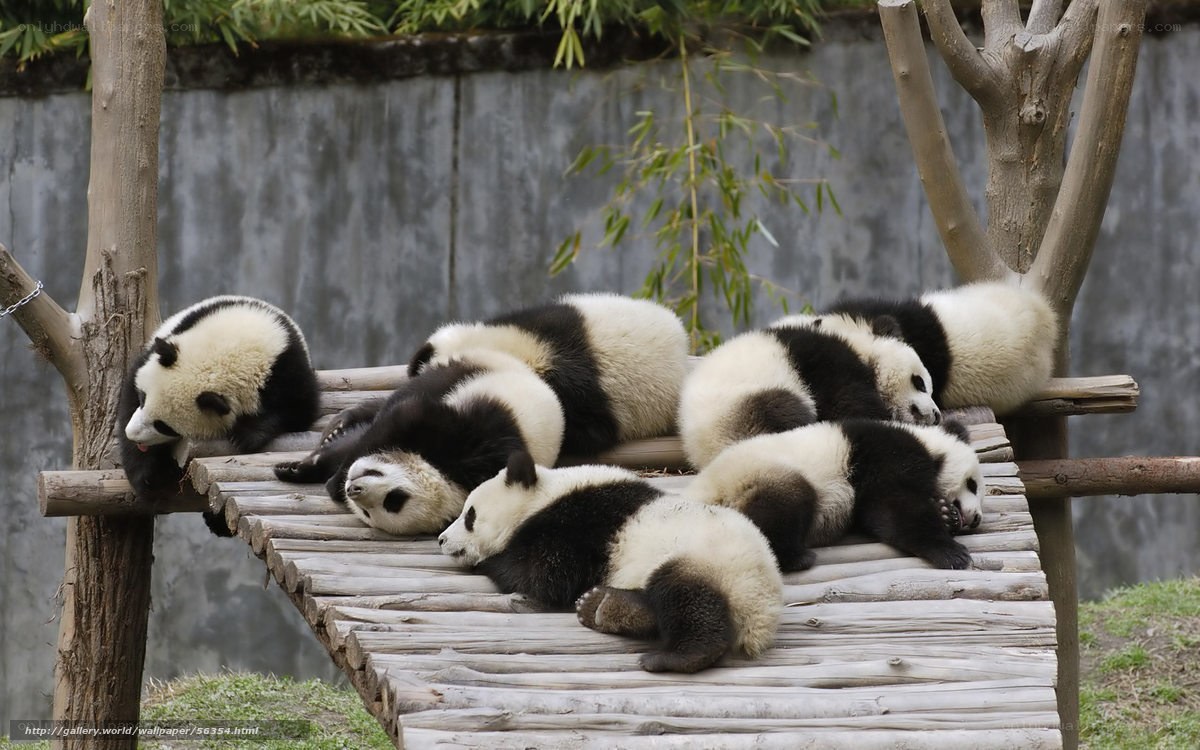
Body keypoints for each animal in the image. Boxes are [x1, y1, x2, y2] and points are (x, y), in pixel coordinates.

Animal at [118, 296, 319, 529]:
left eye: (164, 426)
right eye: (143, 398)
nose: (132, 434)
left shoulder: (286, 367)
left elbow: (299, 410)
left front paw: (246, 435)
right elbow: (129, 394)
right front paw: (146, 475)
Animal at [274, 349, 564, 536]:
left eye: (389, 504)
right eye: (396, 497)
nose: (353, 490)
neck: (449, 476)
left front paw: (326, 478)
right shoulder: (469, 438)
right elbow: (402, 416)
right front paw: (324, 474)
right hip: (470, 372)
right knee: (408, 394)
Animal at [438, 452, 782, 673]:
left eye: (470, 515)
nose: (441, 540)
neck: (544, 495)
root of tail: (762, 611)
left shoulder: (577, 525)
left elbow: (544, 575)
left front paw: (490, 560)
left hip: (708, 561)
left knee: (687, 597)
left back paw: (672, 657)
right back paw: (603, 607)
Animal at [678, 320, 940, 469]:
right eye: (920, 383)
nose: (936, 415)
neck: (860, 347)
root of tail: (702, 451)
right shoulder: (827, 363)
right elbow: (849, 404)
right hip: (743, 404)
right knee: (785, 413)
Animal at [683, 418, 983, 573]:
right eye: (972, 484)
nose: (977, 518)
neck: (928, 444)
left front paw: (945, 514)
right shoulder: (886, 455)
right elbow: (894, 508)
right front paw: (951, 552)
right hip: (758, 476)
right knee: (783, 506)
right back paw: (796, 557)